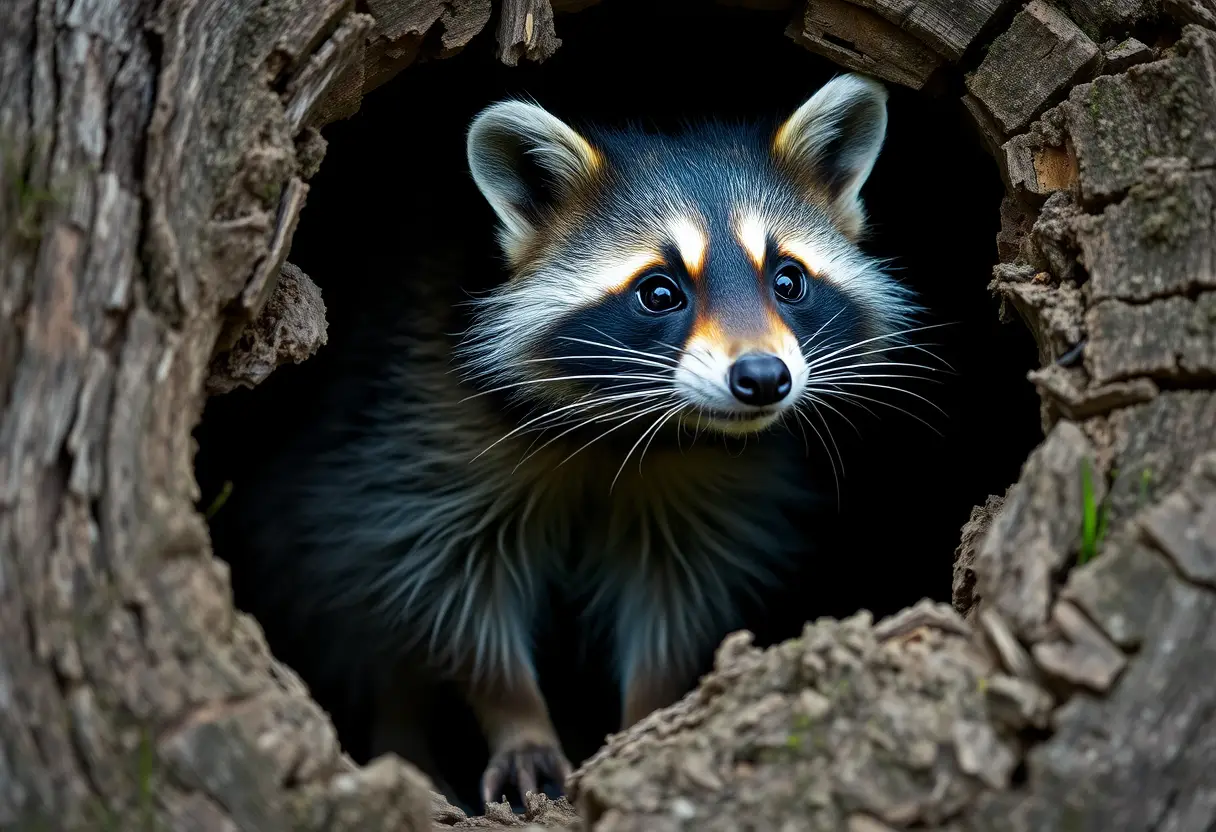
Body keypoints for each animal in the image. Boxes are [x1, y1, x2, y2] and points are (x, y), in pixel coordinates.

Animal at [219, 72, 920, 808]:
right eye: (659, 292)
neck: (629, 427)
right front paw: (517, 716)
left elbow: (674, 597)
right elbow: (448, 589)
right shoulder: (420, 425)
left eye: (788, 281)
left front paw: (647, 715)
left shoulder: (703, 487)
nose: (762, 378)